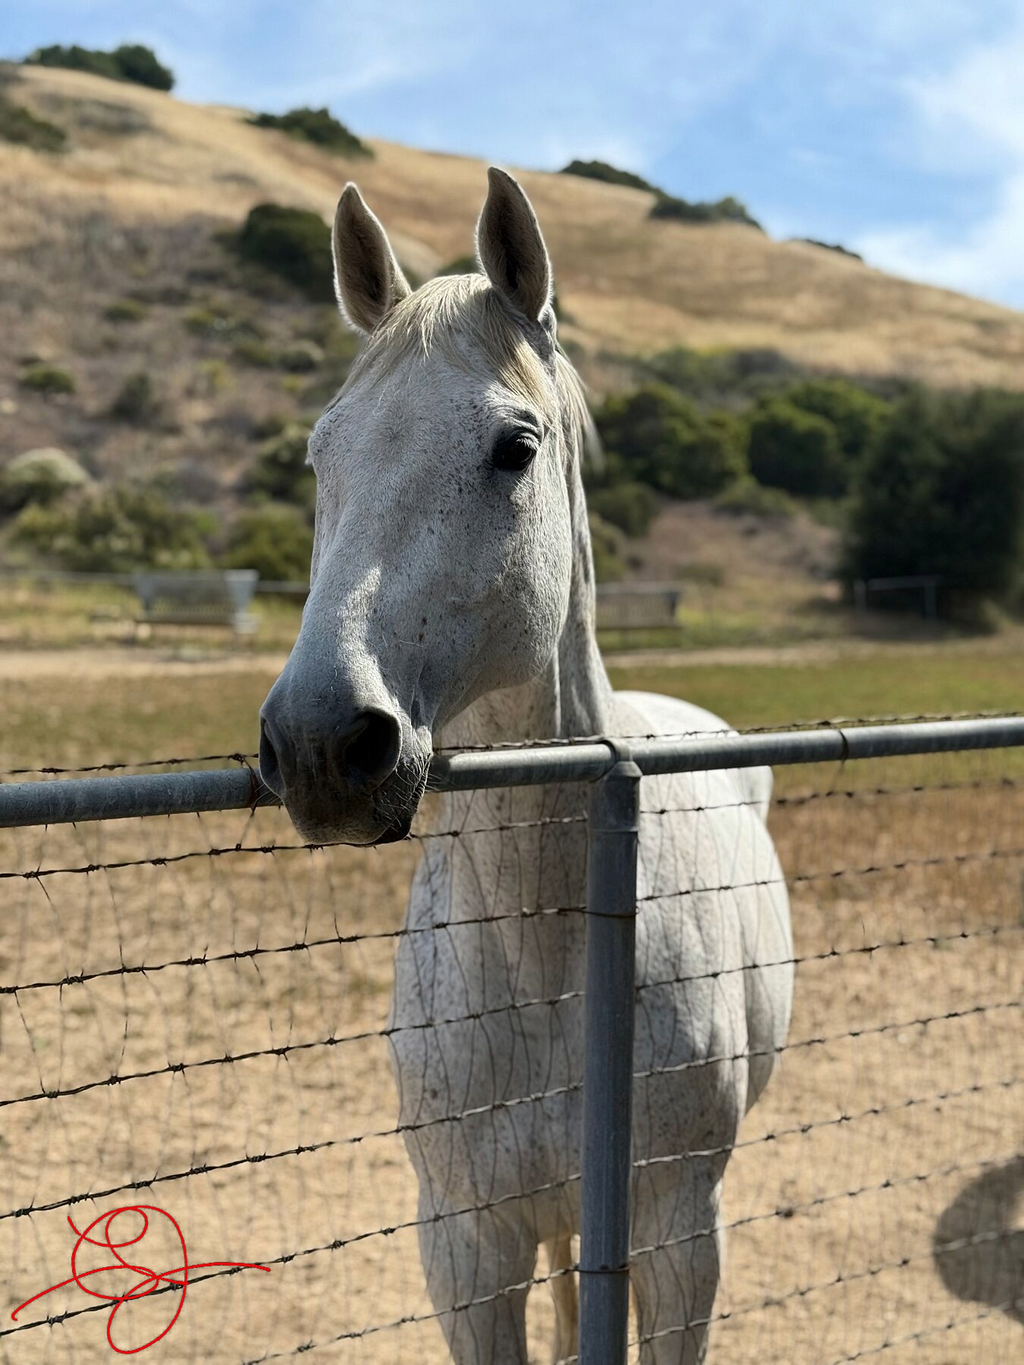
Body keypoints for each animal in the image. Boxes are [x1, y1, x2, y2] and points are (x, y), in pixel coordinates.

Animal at [258, 168, 793, 1364]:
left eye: (515, 446)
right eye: (321, 456)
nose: (320, 744)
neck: (550, 955)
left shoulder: (679, 1234)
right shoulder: (464, 1246)